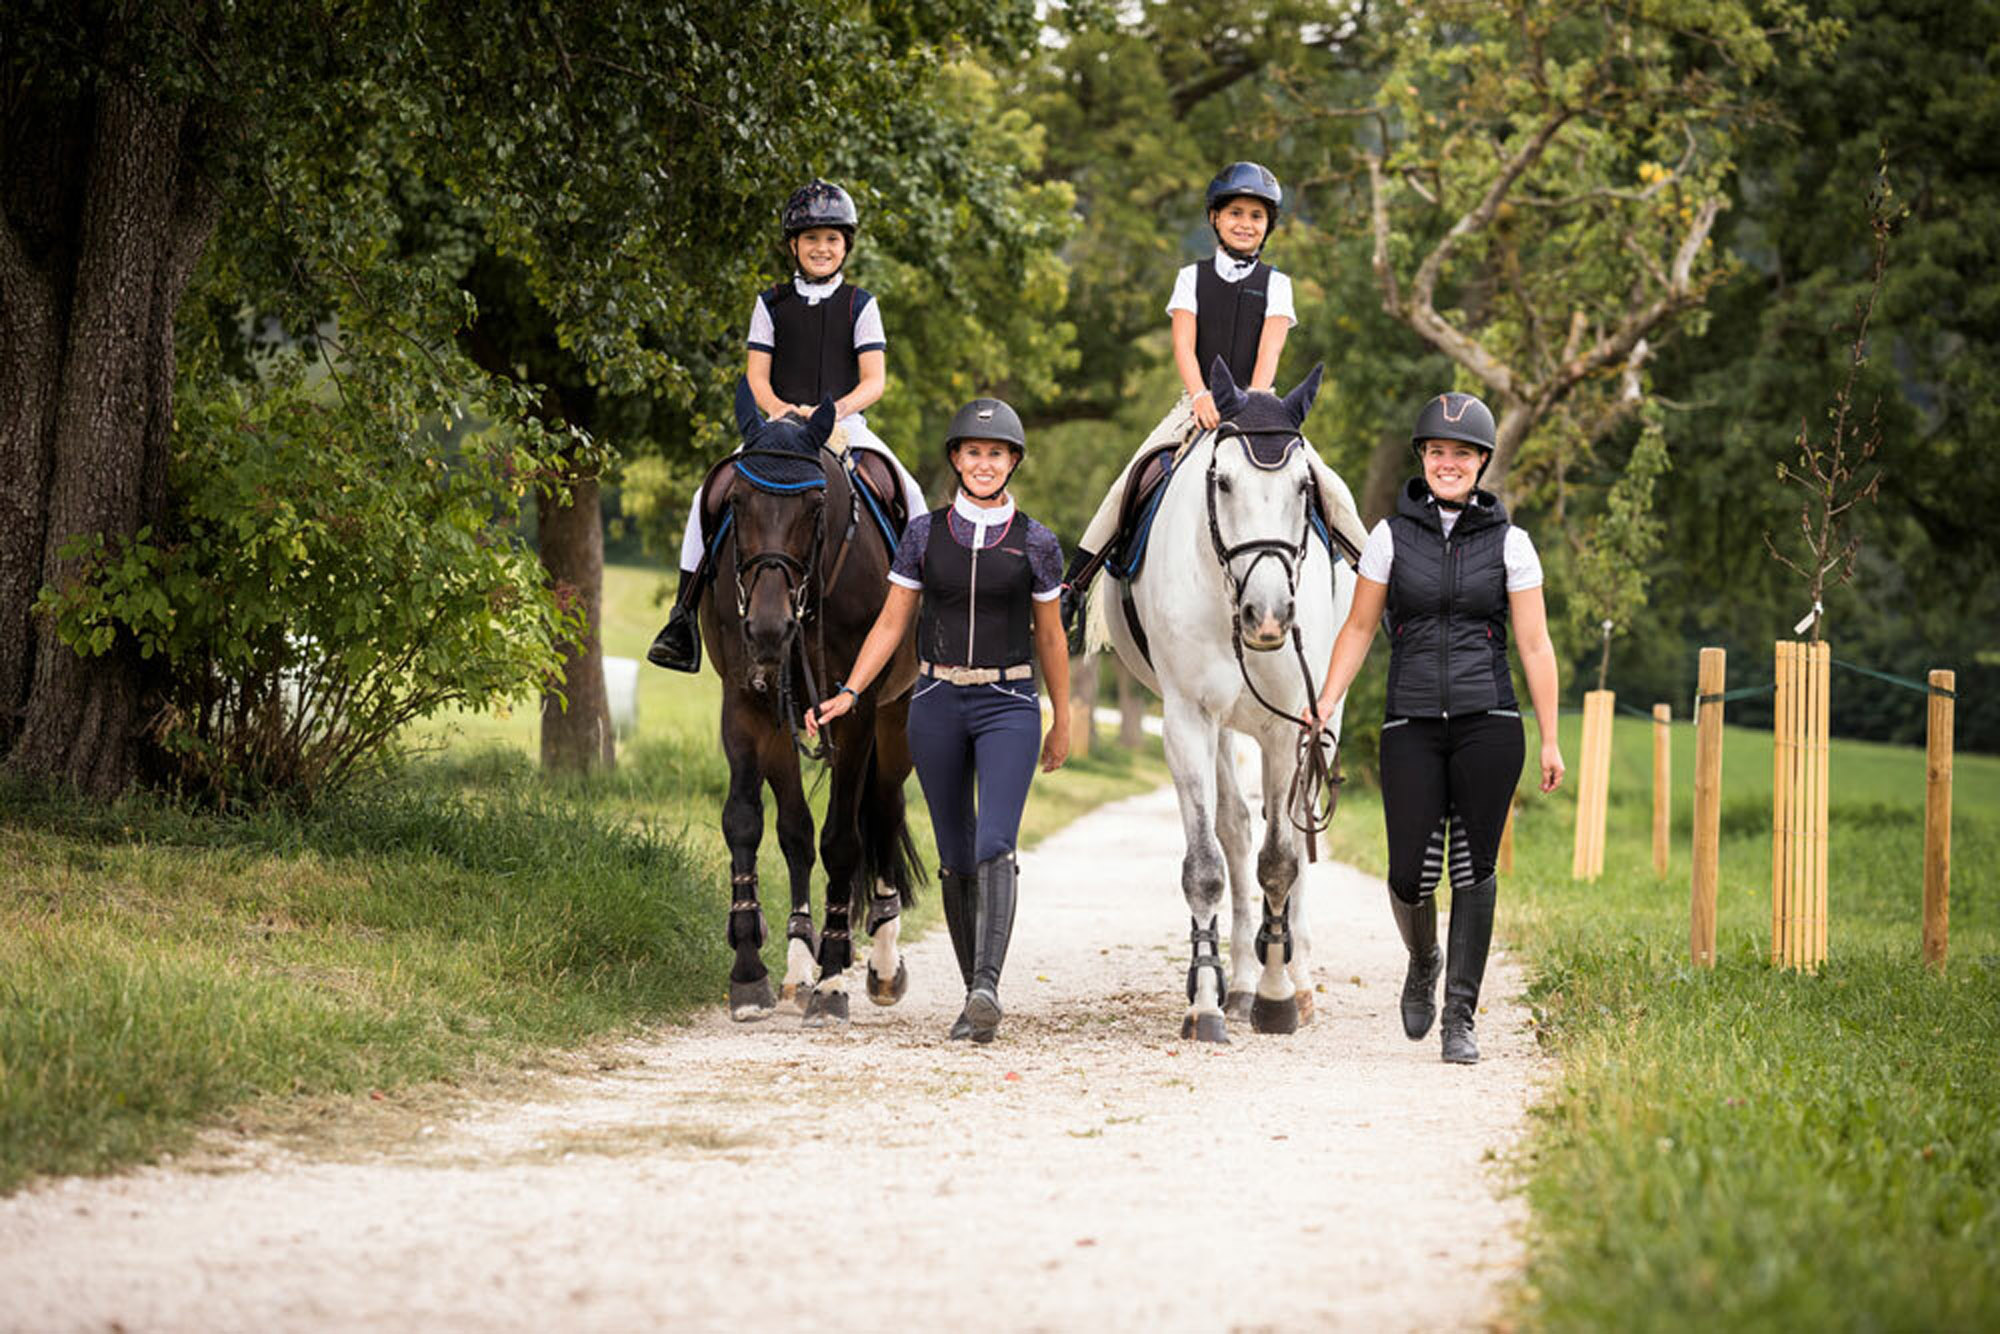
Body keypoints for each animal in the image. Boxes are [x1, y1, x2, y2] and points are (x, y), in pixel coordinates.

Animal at [700, 380, 924, 1032]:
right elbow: (749, 822)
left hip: (894, 722)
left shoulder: (855, 713)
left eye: (815, 506)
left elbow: (843, 839)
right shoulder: (747, 703)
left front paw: (832, 982)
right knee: (797, 829)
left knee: (885, 809)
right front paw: (749, 971)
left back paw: (878, 962)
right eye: (738, 500)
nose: (769, 628)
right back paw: (799, 961)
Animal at [1096, 362, 1360, 1040]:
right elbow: (1211, 863)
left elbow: (1282, 861)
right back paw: (1238, 981)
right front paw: (1210, 1002)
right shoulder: (1189, 718)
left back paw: (1298, 979)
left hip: (1325, 717)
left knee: (1293, 828)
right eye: (1222, 481)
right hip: (1220, 728)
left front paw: (1278, 996)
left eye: (1303, 486)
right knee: (1237, 831)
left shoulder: (1288, 727)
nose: (1267, 616)